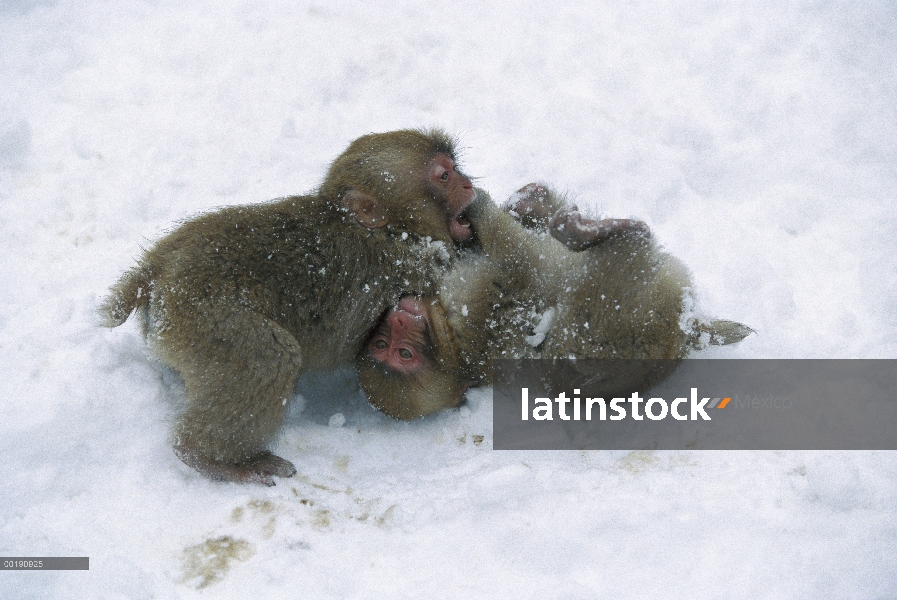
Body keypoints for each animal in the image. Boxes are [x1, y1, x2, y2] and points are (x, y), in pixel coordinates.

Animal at [356, 185, 748, 420]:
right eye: (396, 351)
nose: (399, 320)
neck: (447, 336)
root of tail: (682, 335)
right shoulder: (481, 311)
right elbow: (518, 264)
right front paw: (479, 205)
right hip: (623, 309)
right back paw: (593, 230)